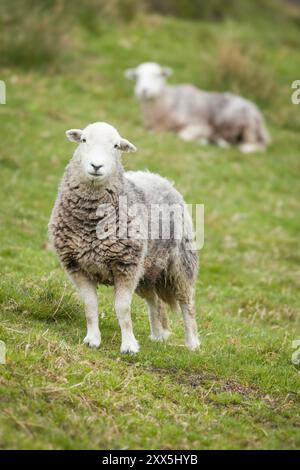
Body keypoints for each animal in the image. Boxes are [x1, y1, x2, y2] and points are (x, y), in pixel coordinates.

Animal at [48, 121, 200, 352]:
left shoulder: (126, 266)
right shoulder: (76, 266)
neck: (91, 222)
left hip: (180, 262)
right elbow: (90, 306)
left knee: (186, 302)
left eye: (116, 146)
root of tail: (159, 177)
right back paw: (158, 335)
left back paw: (192, 344)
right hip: (146, 270)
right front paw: (92, 339)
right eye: (84, 140)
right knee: (154, 300)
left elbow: (122, 309)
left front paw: (129, 346)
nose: (96, 166)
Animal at [124, 62, 270, 152]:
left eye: (159, 75)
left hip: (249, 126)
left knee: (258, 145)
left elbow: (182, 135)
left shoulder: (201, 125)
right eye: (136, 76)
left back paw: (245, 148)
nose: (143, 90)